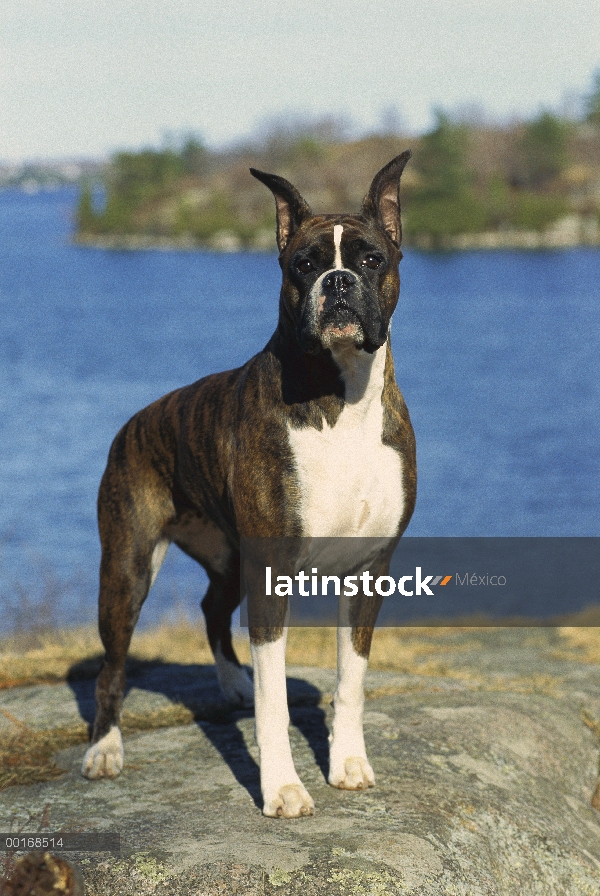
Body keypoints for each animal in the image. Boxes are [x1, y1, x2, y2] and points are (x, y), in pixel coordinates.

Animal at [82, 152, 414, 820]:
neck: (342, 397)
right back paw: (105, 749)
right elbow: (275, 702)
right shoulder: (270, 573)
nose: (338, 282)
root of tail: (135, 422)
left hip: (226, 553)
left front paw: (347, 762)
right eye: (303, 264)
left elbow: (351, 679)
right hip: (128, 568)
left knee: (212, 608)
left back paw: (232, 682)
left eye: (371, 259)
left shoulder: (368, 571)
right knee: (112, 668)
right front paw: (283, 787)